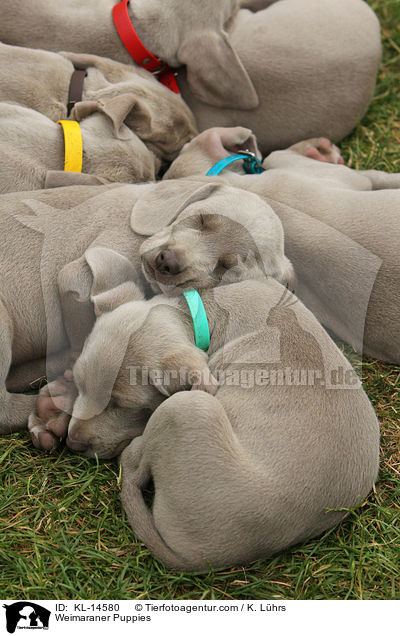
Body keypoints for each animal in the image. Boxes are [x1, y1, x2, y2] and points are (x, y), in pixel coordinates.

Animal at [43, 280, 378, 568]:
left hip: (189, 407)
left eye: (121, 406)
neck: (202, 312)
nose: (73, 443)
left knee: (134, 467)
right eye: (82, 384)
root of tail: (203, 557)